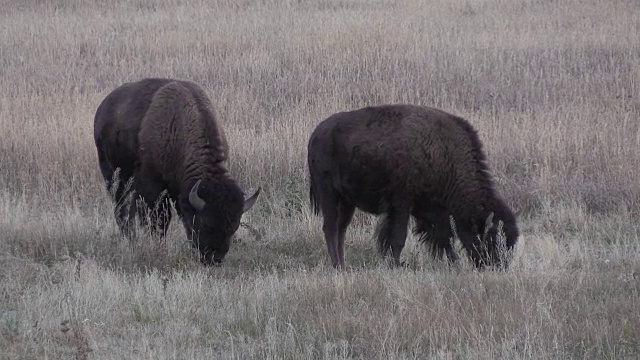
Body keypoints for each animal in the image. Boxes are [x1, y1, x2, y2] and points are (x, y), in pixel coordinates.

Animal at [92, 78, 260, 264]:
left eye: (233, 227)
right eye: (206, 224)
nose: (214, 259)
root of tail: (103, 108)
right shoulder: (152, 187)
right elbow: (159, 219)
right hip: (112, 174)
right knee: (121, 209)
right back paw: (131, 239)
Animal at [306, 104, 520, 270]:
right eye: (492, 240)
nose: (497, 266)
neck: (445, 153)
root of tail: (316, 134)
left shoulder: (434, 210)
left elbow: (444, 238)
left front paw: (455, 264)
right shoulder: (401, 204)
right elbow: (398, 237)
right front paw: (395, 265)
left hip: (347, 202)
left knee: (341, 230)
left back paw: (343, 265)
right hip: (329, 194)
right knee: (330, 228)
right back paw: (337, 267)